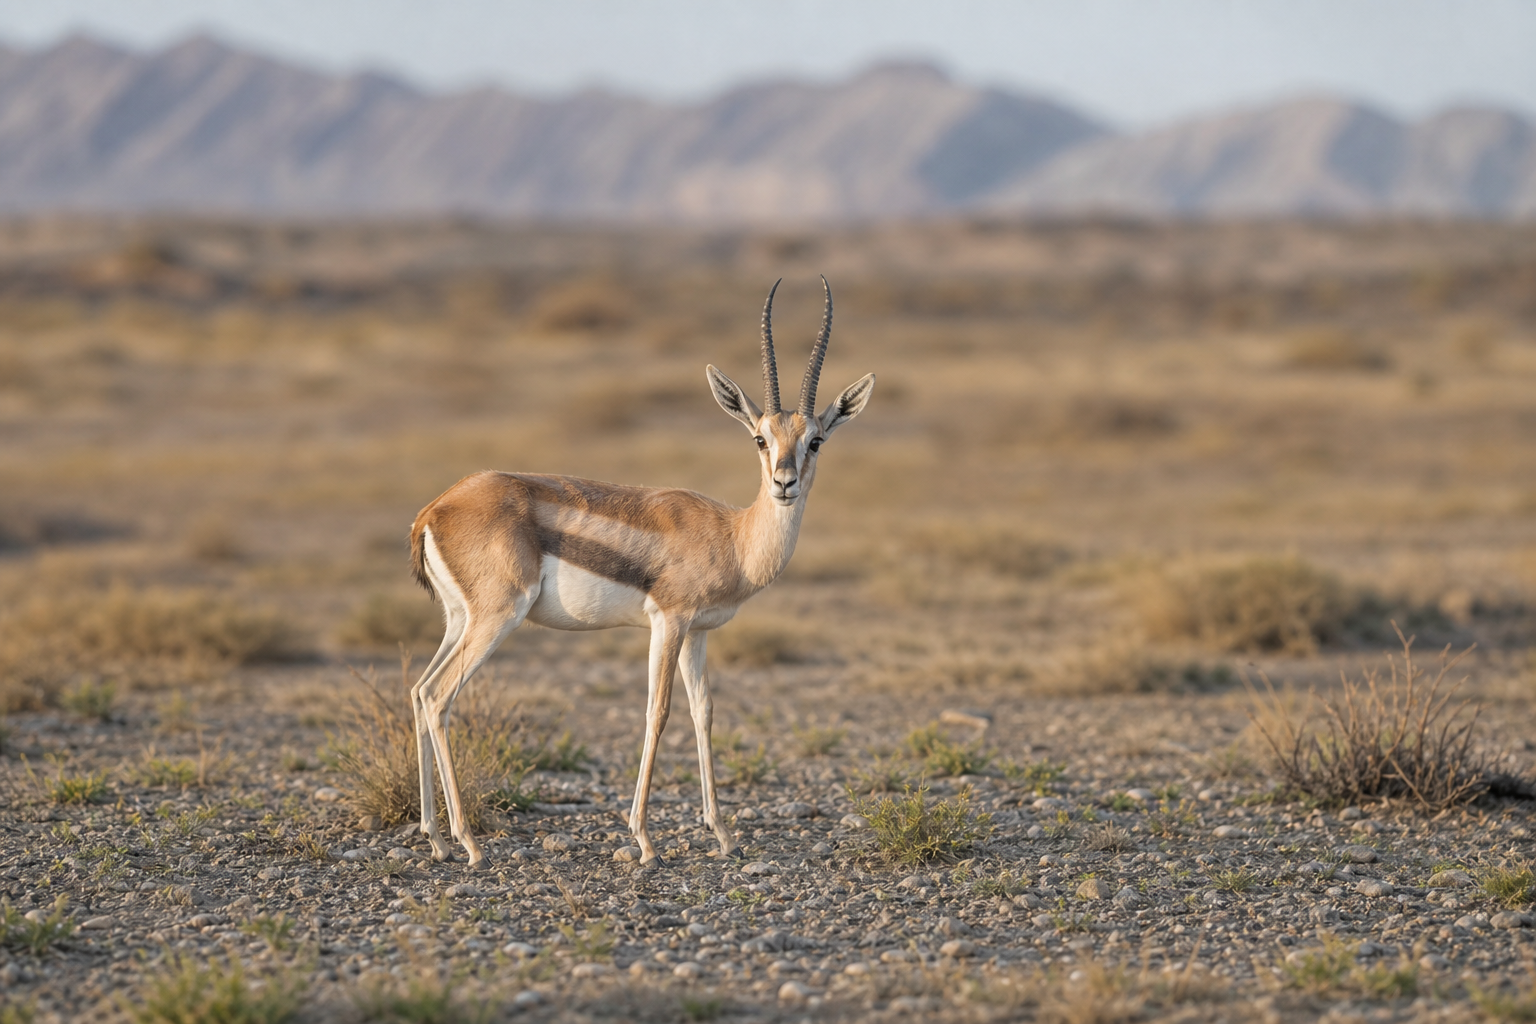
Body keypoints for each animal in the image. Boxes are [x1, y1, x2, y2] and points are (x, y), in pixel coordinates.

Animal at [407, 278, 874, 868]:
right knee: (440, 697)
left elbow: (703, 711)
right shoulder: (668, 622)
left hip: (458, 620)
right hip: (497, 617)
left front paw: (723, 835)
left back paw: (436, 837)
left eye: (815, 439)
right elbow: (659, 711)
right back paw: (468, 842)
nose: (784, 483)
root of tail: (436, 508)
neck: (733, 536)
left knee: (419, 691)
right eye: (760, 439)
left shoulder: (698, 632)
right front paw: (645, 839)